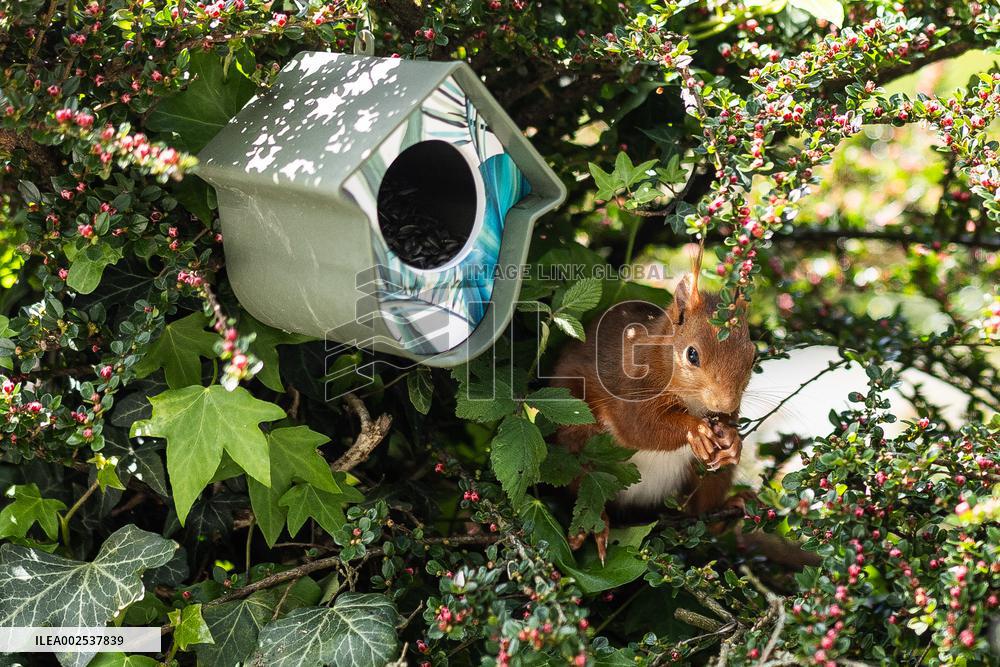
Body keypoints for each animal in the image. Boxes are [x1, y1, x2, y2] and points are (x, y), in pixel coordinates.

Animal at [550, 271, 756, 561]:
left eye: (753, 357)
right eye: (692, 355)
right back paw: (593, 525)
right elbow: (638, 427)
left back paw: (732, 507)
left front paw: (732, 441)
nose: (725, 403)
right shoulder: (629, 388)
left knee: (702, 510)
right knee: (584, 483)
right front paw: (696, 430)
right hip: (577, 439)